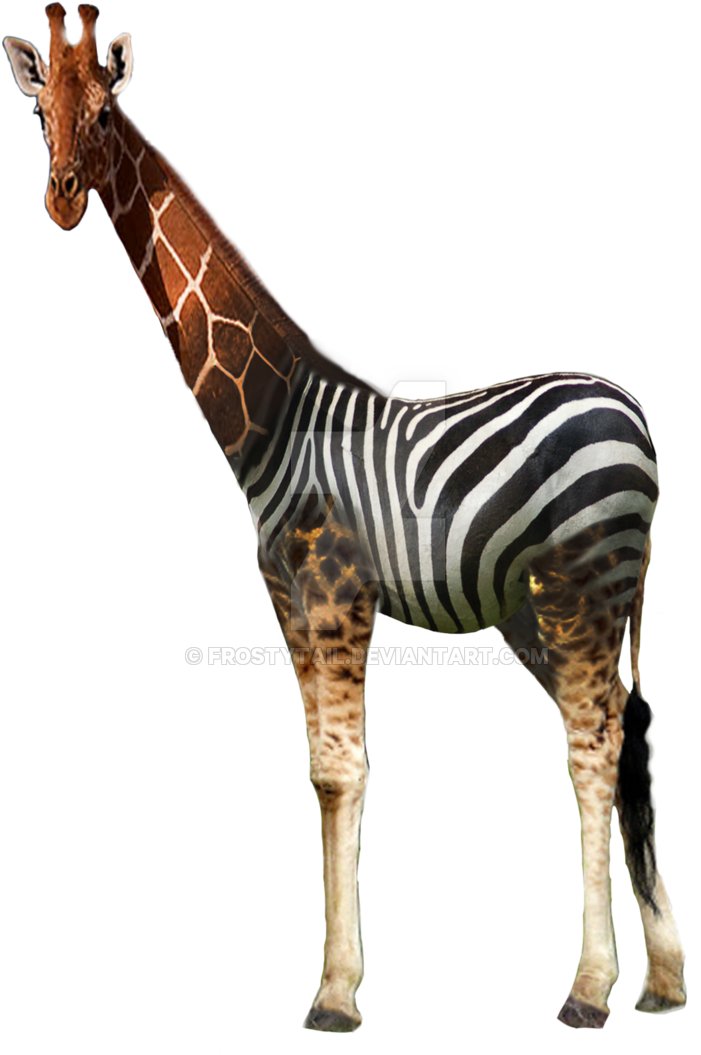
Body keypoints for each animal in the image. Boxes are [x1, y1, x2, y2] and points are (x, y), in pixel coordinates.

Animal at [3, 5, 687, 1032]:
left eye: (106, 115)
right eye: (41, 112)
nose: (64, 198)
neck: (276, 414)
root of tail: (634, 413)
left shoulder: (335, 600)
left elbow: (347, 769)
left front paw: (334, 992)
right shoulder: (287, 607)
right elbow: (323, 774)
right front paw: (334, 984)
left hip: (583, 587)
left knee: (594, 740)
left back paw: (590, 986)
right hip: (551, 608)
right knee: (632, 726)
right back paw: (662, 978)